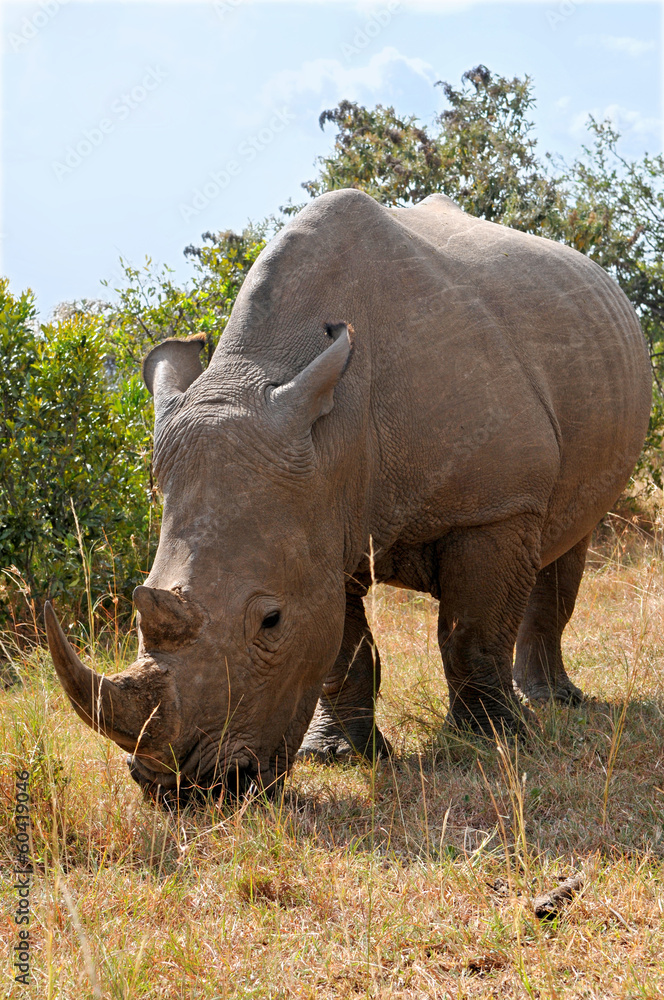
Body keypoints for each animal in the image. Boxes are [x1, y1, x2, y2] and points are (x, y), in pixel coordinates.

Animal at [45, 190, 652, 802]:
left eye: (270, 621)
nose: (189, 790)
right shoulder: (318, 517)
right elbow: (341, 650)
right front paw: (340, 756)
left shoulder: (494, 506)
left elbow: (470, 634)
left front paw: (495, 743)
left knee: (571, 534)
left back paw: (554, 703)